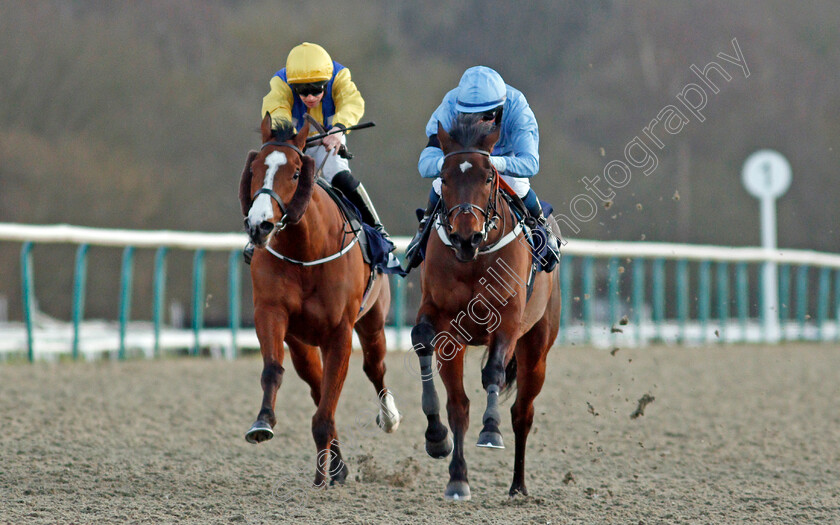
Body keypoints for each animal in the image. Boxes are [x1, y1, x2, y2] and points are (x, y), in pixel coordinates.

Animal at [240, 112, 404, 486]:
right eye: (254, 169)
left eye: (295, 172)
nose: (259, 225)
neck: (306, 251)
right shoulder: (271, 313)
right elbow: (274, 370)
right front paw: (263, 422)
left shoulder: (340, 332)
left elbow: (329, 405)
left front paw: (322, 477)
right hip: (302, 343)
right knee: (316, 386)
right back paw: (337, 465)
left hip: (373, 324)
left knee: (375, 368)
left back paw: (389, 418)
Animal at [412, 114, 560, 500]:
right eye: (445, 176)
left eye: (489, 176)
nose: (466, 236)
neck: (474, 260)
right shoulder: (444, 322)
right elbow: (422, 342)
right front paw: (438, 441)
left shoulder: (507, 320)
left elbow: (493, 372)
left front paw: (490, 429)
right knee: (460, 406)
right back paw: (459, 477)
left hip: (537, 346)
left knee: (523, 412)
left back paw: (518, 485)